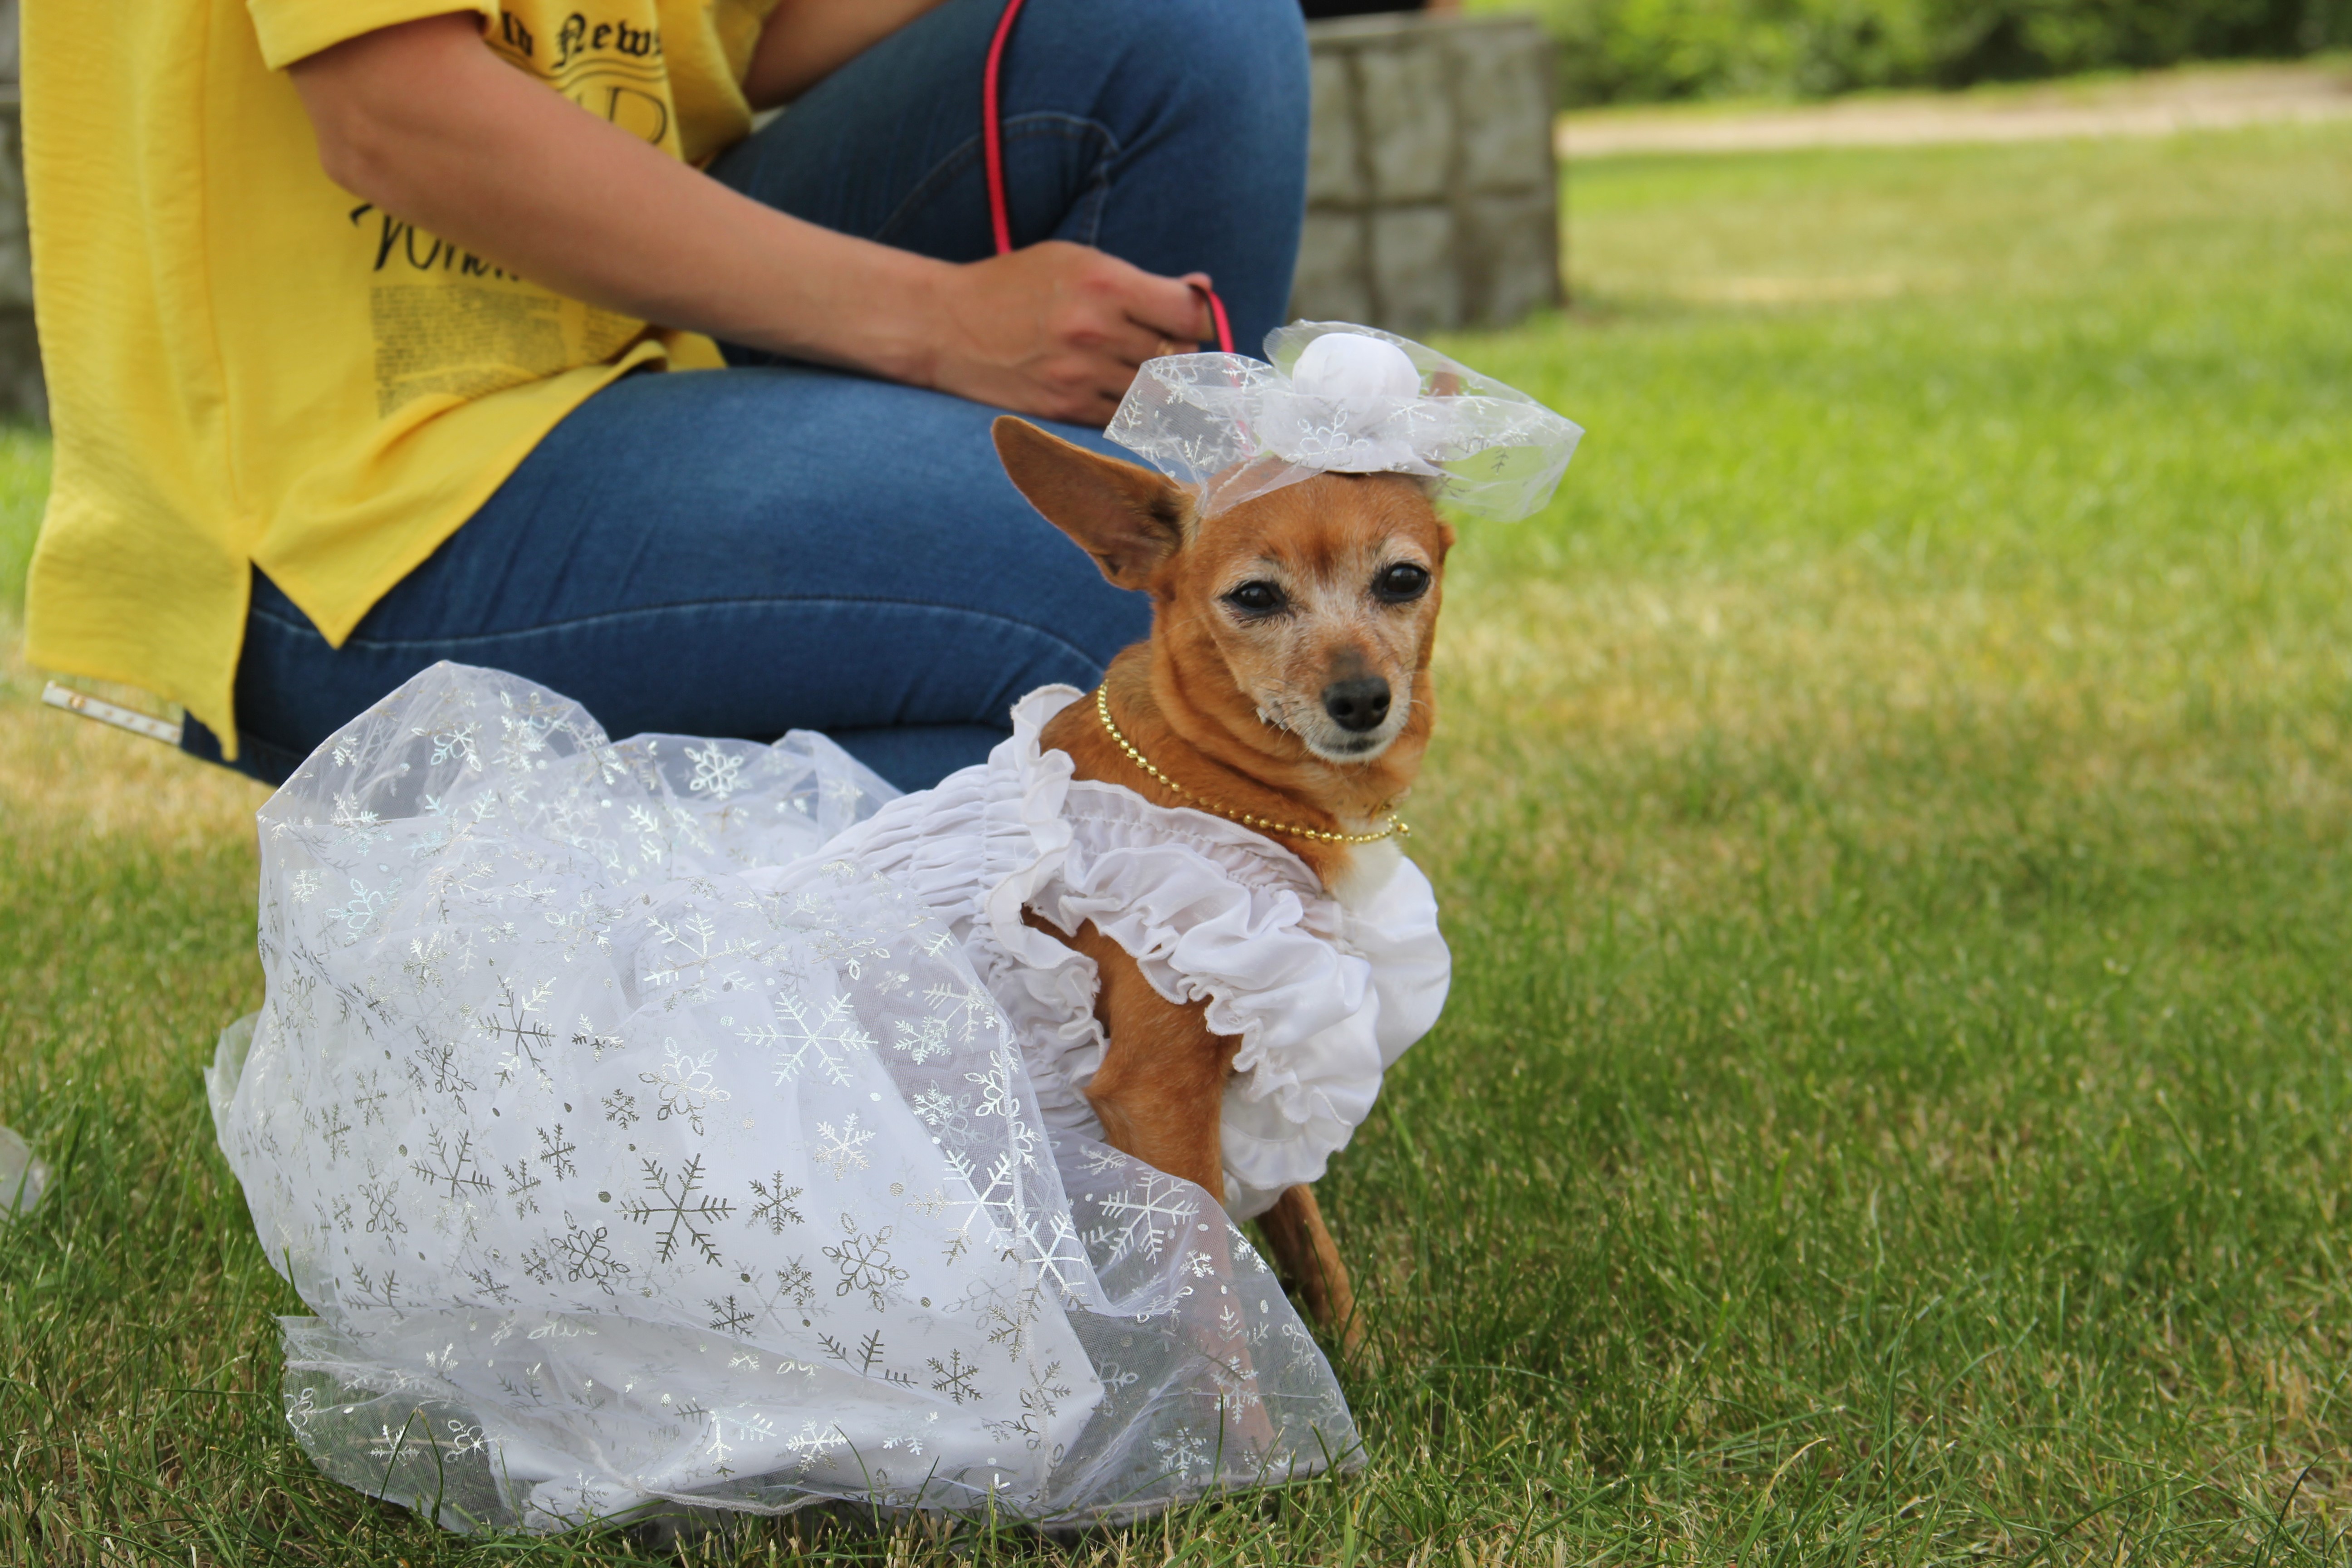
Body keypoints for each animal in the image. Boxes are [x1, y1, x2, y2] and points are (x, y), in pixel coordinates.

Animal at [988, 416, 1449, 1354]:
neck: (1216, 778)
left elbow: (1306, 1235)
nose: (1360, 698)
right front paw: (1261, 1400)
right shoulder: (1155, 1102)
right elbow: (1216, 1300)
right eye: (1254, 597)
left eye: (1402, 579)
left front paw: (1354, 1358)